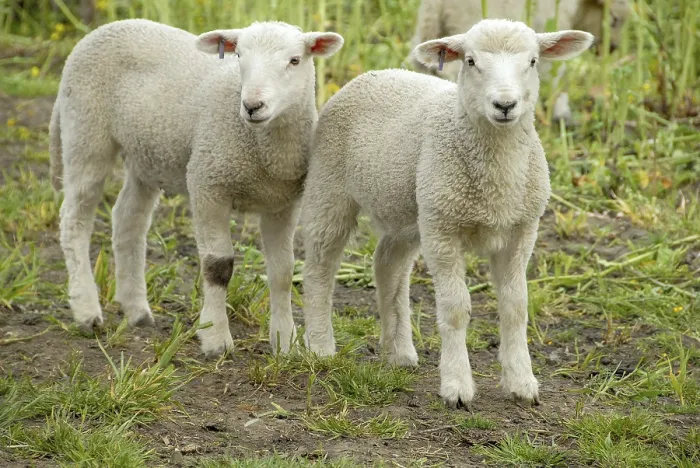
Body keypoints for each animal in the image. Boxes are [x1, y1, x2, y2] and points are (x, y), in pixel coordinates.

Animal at [49, 18, 344, 357]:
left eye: (295, 61)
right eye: (239, 56)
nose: (252, 106)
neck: (264, 150)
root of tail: (102, 29)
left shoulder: (282, 204)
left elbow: (282, 271)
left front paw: (284, 342)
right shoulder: (207, 184)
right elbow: (218, 267)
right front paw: (215, 339)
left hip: (146, 156)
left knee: (127, 220)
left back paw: (136, 310)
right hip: (86, 132)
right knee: (75, 220)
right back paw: (86, 311)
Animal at [300, 19, 593, 407]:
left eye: (532, 61)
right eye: (470, 61)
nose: (505, 105)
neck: (497, 180)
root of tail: (378, 73)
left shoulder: (521, 230)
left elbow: (516, 306)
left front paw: (521, 381)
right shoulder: (443, 228)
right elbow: (455, 309)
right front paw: (456, 386)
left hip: (409, 209)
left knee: (389, 265)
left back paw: (398, 351)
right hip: (330, 186)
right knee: (320, 266)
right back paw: (319, 345)